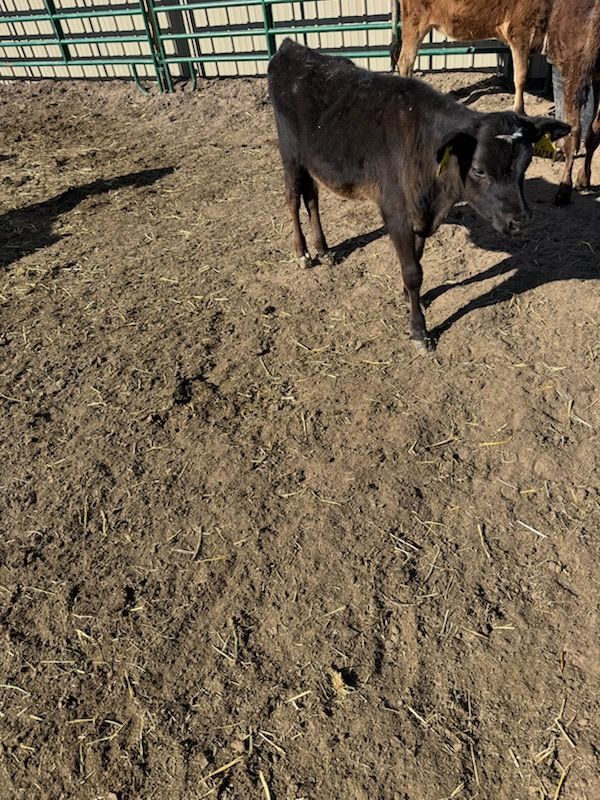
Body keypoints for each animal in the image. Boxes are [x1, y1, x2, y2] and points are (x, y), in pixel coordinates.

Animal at [267, 40, 569, 350]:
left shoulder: (423, 213)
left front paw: (410, 298)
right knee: (292, 200)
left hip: (313, 162)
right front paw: (419, 329)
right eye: (478, 169)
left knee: (312, 198)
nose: (519, 219)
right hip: (290, 155)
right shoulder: (396, 212)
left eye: (526, 163)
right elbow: (413, 272)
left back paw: (324, 249)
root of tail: (293, 48)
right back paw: (303, 253)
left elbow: (418, 258)